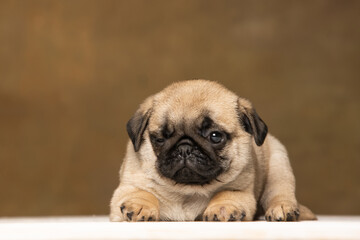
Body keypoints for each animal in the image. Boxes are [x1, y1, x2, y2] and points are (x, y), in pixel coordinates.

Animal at [109, 79, 316, 222]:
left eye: (215, 136)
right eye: (160, 139)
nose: (185, 148)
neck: (188, 191)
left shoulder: (239, 190)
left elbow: (225, 194)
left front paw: (222, 208)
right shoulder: (127, 188)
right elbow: (142, 192)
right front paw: (140, 205)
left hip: (279, 163)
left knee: (279, 192)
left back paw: (282, 209)